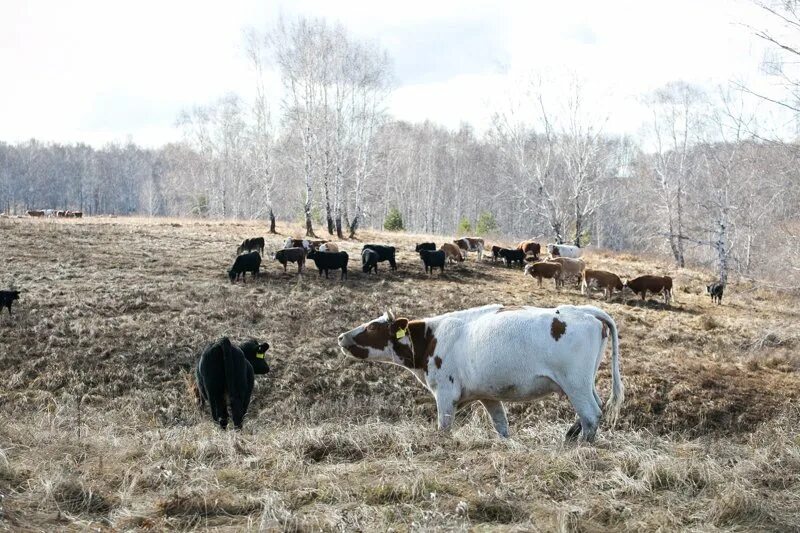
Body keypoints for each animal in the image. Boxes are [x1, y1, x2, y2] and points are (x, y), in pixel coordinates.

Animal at [338, 304, 624, 440]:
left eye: (372, 328)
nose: (341, 336)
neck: (431, 337)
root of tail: (583, 310)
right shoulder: (488, 396)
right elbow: (501, 426)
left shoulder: (445, 394)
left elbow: (444, 428)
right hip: (584, 383)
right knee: (596, 406)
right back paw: (570, 436)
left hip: (575, 384)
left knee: (591, 415)